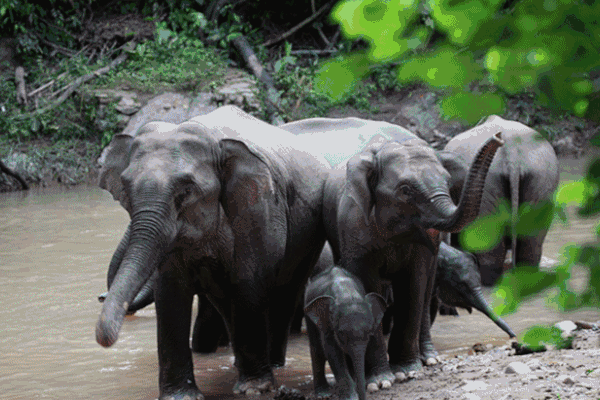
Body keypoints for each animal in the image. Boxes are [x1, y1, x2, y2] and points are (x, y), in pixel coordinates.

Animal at [94, 104, 330, 398]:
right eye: (125, 188)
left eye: (186, 190)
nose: (101, 298)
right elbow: (170, 289)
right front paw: (179, 395)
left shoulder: (259, 208)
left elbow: (248, 279)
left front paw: (254, 388)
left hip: (308, 239)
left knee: (284, 293)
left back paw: (273, 366)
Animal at [304, 266, 394, 400]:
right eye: (341, 334)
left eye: (369, 333)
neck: (347, 293)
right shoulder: (328, 324)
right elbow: (332, 351)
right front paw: (351, 397)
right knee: (316, 350)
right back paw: (323, 393)